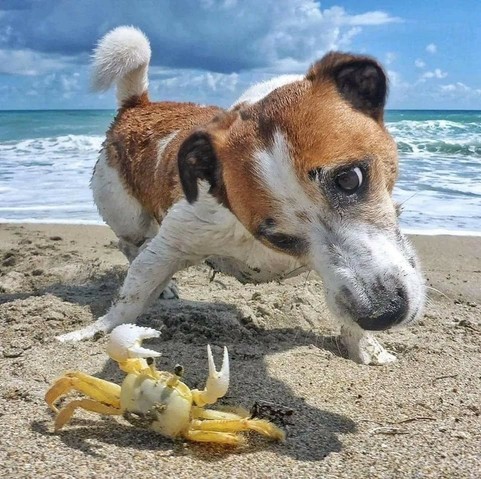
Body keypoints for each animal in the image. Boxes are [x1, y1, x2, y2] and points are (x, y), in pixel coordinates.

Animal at [58, 26, 426, 366]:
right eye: (277, 238)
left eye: (350, 179)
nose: (382, 314)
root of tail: (138, 105)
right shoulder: (174, 241)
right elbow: (131, 297)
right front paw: (96, 330)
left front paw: (366, 348)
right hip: (127, 213)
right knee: (130, 245)